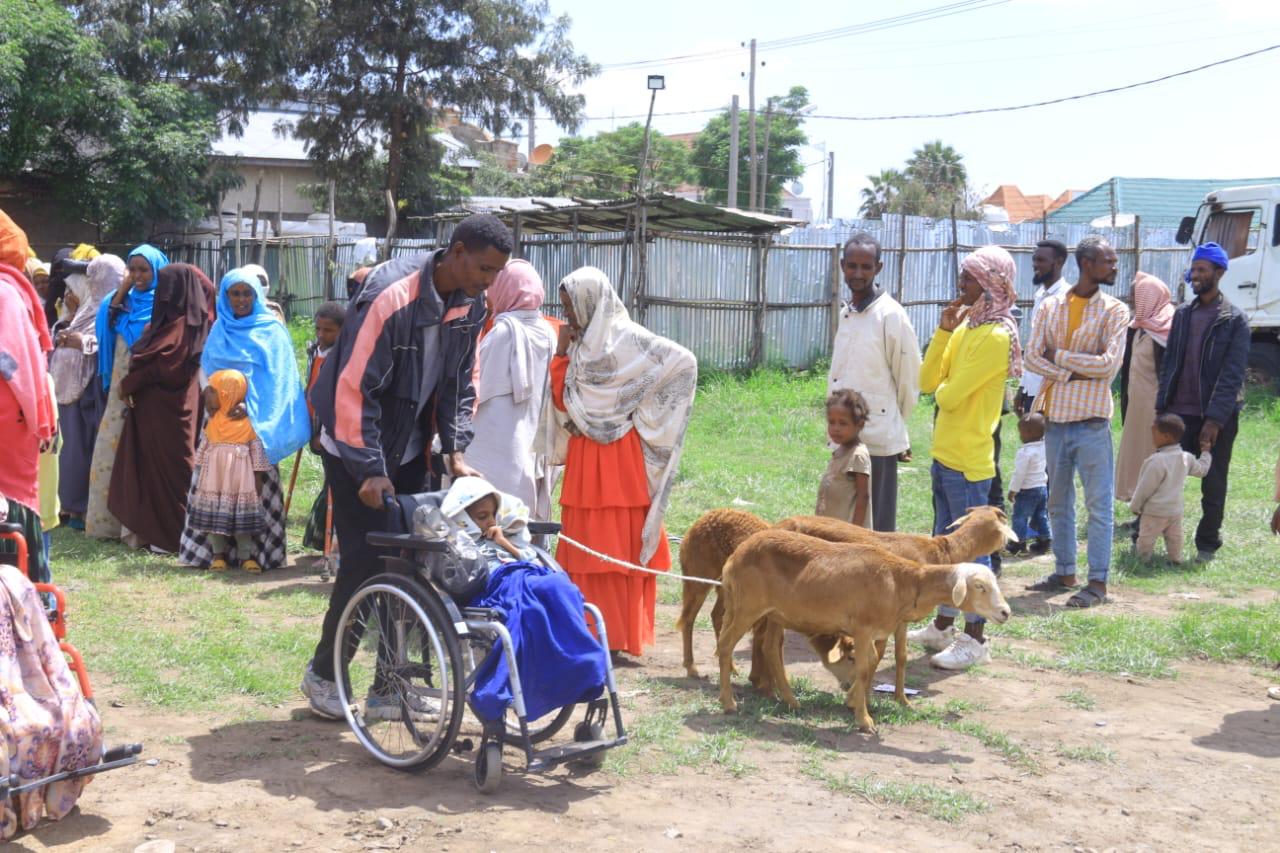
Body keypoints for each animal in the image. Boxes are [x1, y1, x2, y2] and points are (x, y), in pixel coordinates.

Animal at [721, 527, 1008, 727]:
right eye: (980, 586)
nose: (1005, 612)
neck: (903, 581)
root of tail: (736, 556)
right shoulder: (862, 630)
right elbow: (863, 668)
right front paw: (863, 719)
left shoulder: (880, 630)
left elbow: (878, 662)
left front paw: (863, 704)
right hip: (747, 607)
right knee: (725, 645)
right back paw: (729, 703)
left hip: (775, 614)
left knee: (770, 648)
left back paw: (791, 701)